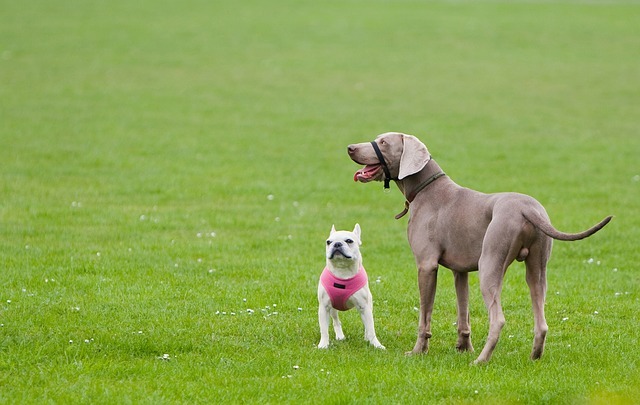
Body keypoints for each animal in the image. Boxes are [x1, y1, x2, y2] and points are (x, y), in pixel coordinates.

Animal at [348, 133, 612, 362]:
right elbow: (463, 311)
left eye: (383, 142)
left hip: (490, 264)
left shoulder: (426, 266)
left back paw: (481, 360)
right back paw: (534, 357)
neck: (426, 189)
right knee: (541, 319)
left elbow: (425, 316)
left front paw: (418, 351)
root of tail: (528, 209)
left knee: (498, 319)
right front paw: (463, 347)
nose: (350, 147)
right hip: (537, 268)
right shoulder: (460, 271)